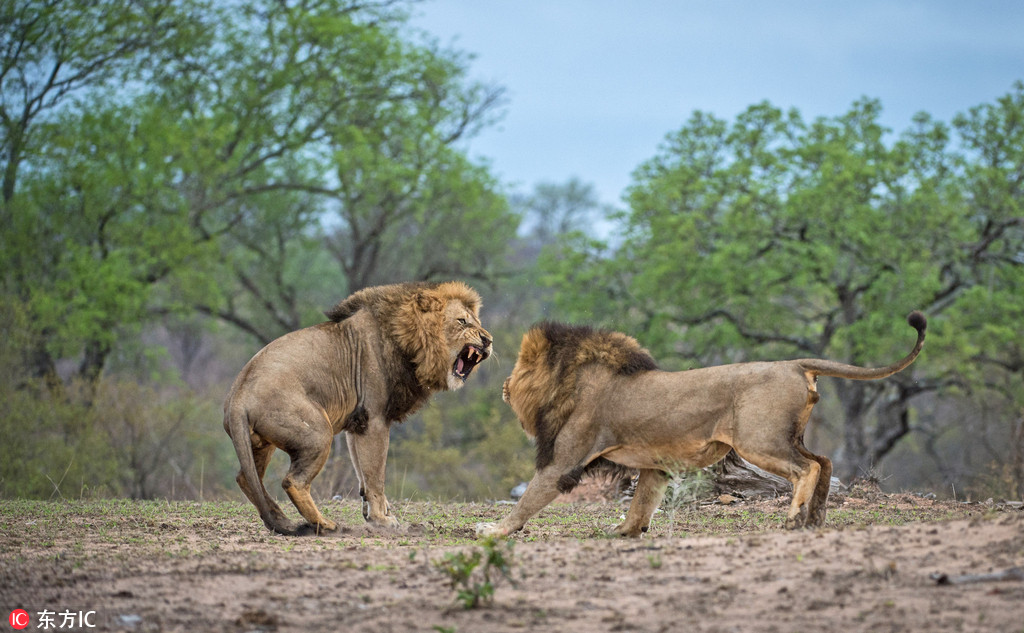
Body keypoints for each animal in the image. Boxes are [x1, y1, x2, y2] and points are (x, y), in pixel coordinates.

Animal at [223, 280, 491, 532]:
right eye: (462, 321)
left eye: (477, 321)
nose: (488, 340)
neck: (407, 341)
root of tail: (238, 397)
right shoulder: (375, 419)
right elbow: (375, 474)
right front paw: (382, 519)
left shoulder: (357, 423)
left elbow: (362, 471)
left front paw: (375, 512)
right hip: (318, 432)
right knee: (293, 482)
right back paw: (323, 524)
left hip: (262, 443)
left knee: (246, 478)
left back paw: (281, 520)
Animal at [479, 313, 929, 536]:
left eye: (517, 369)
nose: (502, 385)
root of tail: (793, 363)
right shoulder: (655, 466)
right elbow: (642, 505)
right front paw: (623, 531)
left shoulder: (563, 462)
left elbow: (527, 501)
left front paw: (494, 530)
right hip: (784, 436)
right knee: (826, 462)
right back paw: (815, 518)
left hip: (758, 440)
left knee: (808, 468)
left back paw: (793, 519)